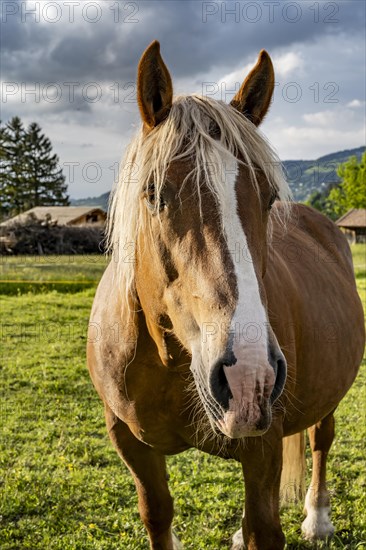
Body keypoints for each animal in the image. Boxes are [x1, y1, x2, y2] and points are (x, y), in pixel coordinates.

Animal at [87, 41, 364, 548]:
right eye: (154, 193)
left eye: (268, 196)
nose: (248, 377)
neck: (168, 358)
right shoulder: (131, 444)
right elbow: (157, 515)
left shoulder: (263, 447)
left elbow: (264, 528)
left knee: (322, 439)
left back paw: (317, 517)